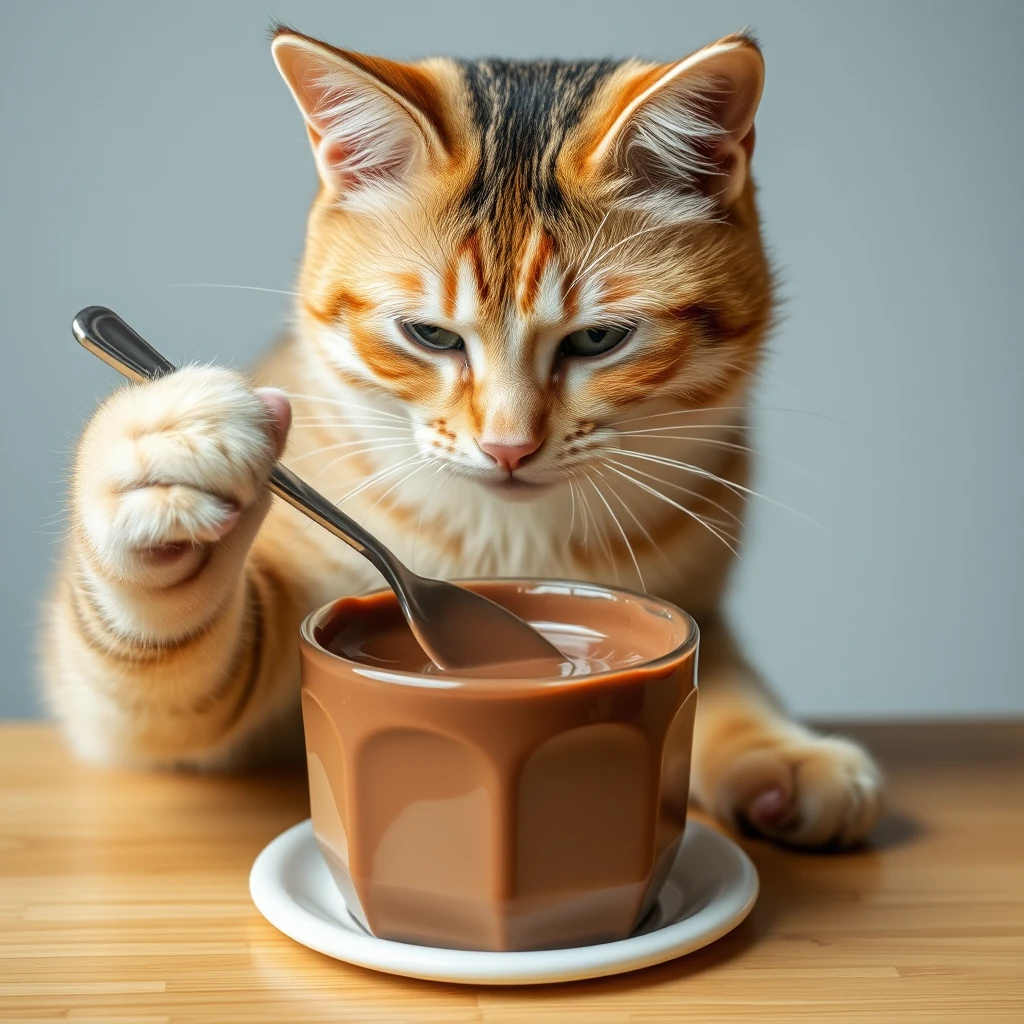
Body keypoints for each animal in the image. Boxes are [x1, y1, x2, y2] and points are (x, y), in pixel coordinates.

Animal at [44, 29, 880, 847]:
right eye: (430, 335)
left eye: (599, 339)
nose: (508, 446)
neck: (511, 540)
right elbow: (174, 676)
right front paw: (160, 459)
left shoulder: (696, 598)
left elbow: (724, 676)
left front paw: (783, 754)